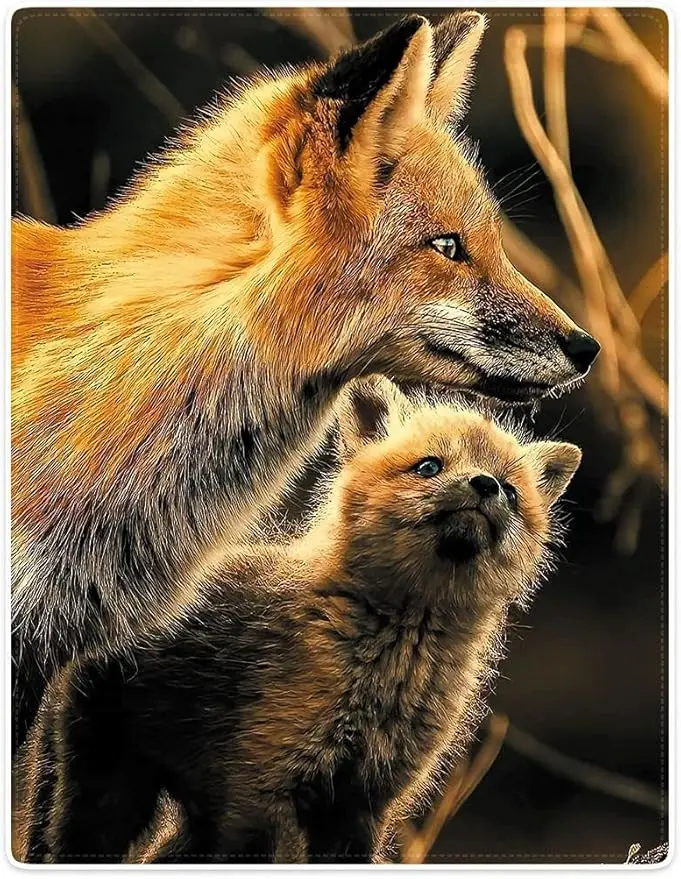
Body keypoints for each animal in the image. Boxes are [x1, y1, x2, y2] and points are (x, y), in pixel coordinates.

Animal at [15, 377, 582, 864]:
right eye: (428, 466)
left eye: (510, 491)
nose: (484, 485)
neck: (386, 676)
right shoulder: (259, 791)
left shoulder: (362, 806)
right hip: (104, 795)